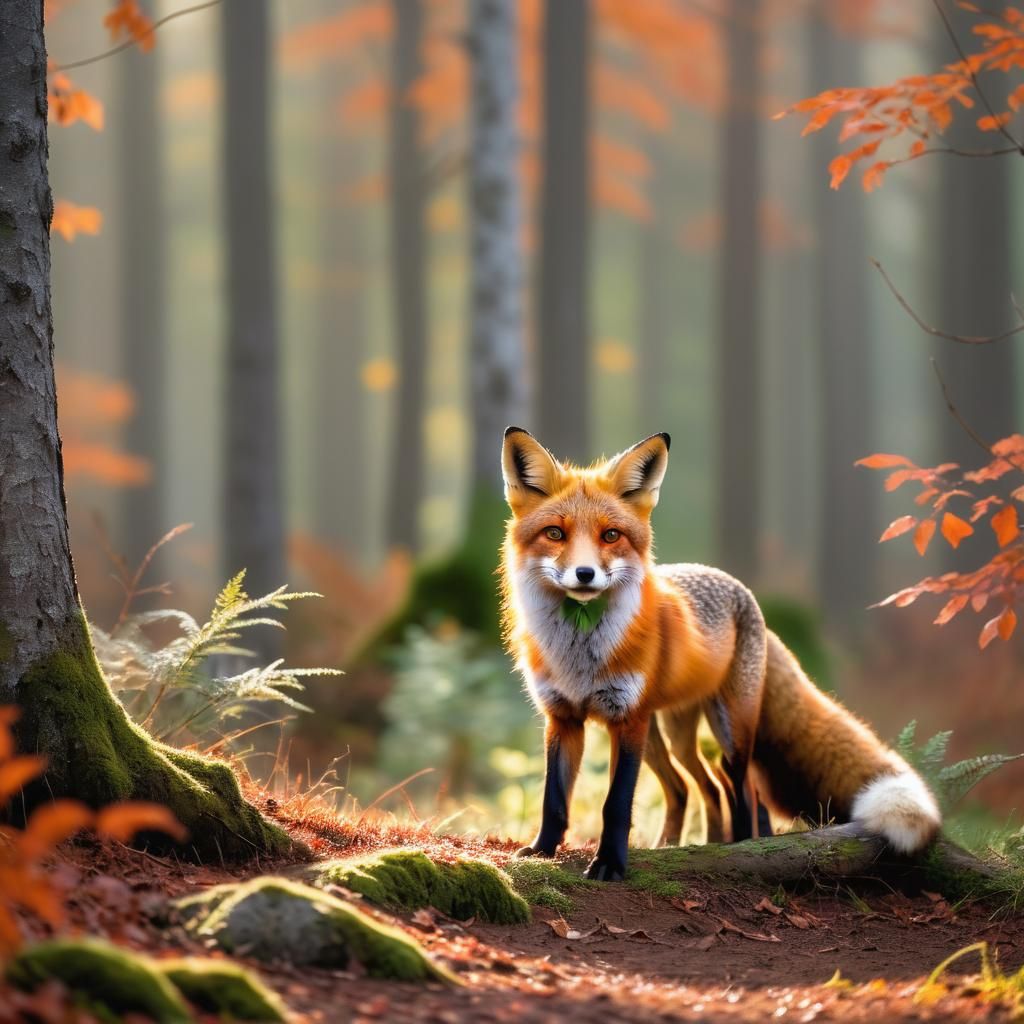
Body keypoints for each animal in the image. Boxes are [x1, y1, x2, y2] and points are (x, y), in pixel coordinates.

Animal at [500, 426, 941, 881]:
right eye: (555, 533)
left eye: (611, 535)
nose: (584, 574)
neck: (579, 654)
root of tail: (747, 596)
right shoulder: (563, 718)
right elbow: (553, 798)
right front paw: (542, 850)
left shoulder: (628, 720)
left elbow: (616, 804)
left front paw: (610, 864)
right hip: (668, 735)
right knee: (694, 788)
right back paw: (687, 845)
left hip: (728, 730)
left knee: (741, 787)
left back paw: (743, 845)